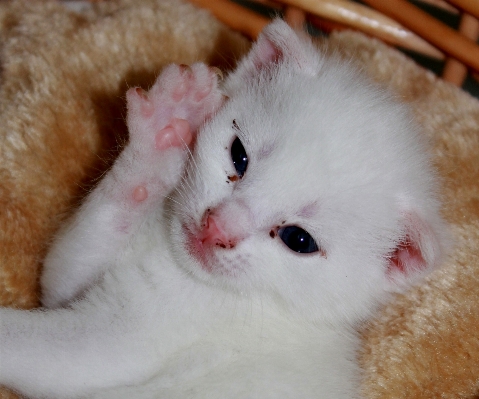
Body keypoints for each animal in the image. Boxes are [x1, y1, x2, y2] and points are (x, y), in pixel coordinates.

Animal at [0, 20, 446, 398]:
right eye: (238, 157)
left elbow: (43, 345)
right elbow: (65, 266)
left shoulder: (118, 340)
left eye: (299, 239)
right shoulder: (69, 282)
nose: (217, 227)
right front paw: (165, 129)